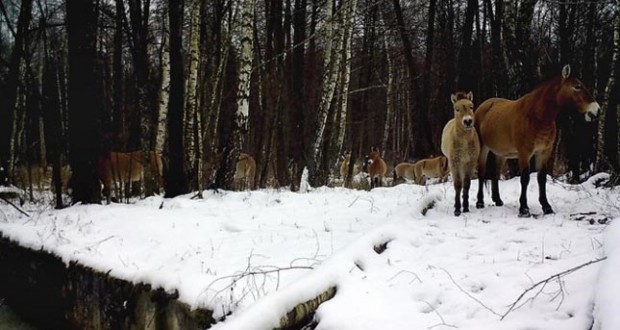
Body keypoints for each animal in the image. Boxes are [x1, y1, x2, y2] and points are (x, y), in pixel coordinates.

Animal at [474, 65, 600, 218]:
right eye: (577, 86)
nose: (596, 110)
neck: (536, 116)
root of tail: (484, 106)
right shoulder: (524, 153)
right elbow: (525, 179)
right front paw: (524, 209)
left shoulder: (544, 152)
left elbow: (541, 178)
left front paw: (546, 207)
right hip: (483, 149)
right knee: (481, 173)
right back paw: (480, 202)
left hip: (501, 154)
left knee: (496, 174)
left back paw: (498, 200)